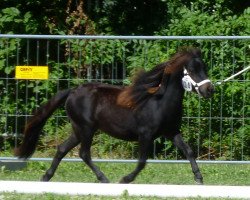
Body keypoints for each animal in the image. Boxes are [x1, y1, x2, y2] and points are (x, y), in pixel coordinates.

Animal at [15, 47, 215, 184]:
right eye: (192, 70)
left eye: (204, 68)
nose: (209, 90)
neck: (159, 102)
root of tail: (72, 91)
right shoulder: (145, 134)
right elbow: (142, 161)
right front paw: (125, 179)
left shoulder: (171, 132)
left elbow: (188, 150)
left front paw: (199, 178)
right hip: (86, 129)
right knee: (84, 153)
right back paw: (104, 179)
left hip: (78, 129)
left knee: (62, 149)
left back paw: (46, 177)